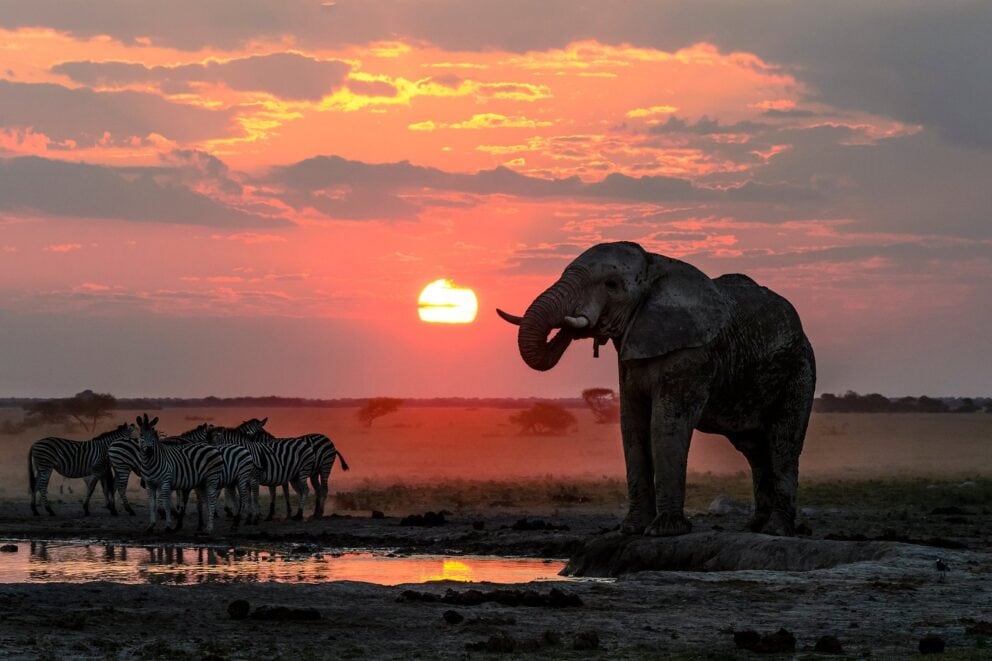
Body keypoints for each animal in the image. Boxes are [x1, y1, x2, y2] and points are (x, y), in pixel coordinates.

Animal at [497, 241, 815, 537]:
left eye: (611, 285)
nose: (575, 327)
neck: (655, 265)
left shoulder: (692, 354)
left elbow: (665, 425)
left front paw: (664, 531)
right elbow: (631, 425)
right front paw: (632, 529)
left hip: (800, 370)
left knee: (782, 443)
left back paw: (776, 530)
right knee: (754, 449)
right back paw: (756, 527)